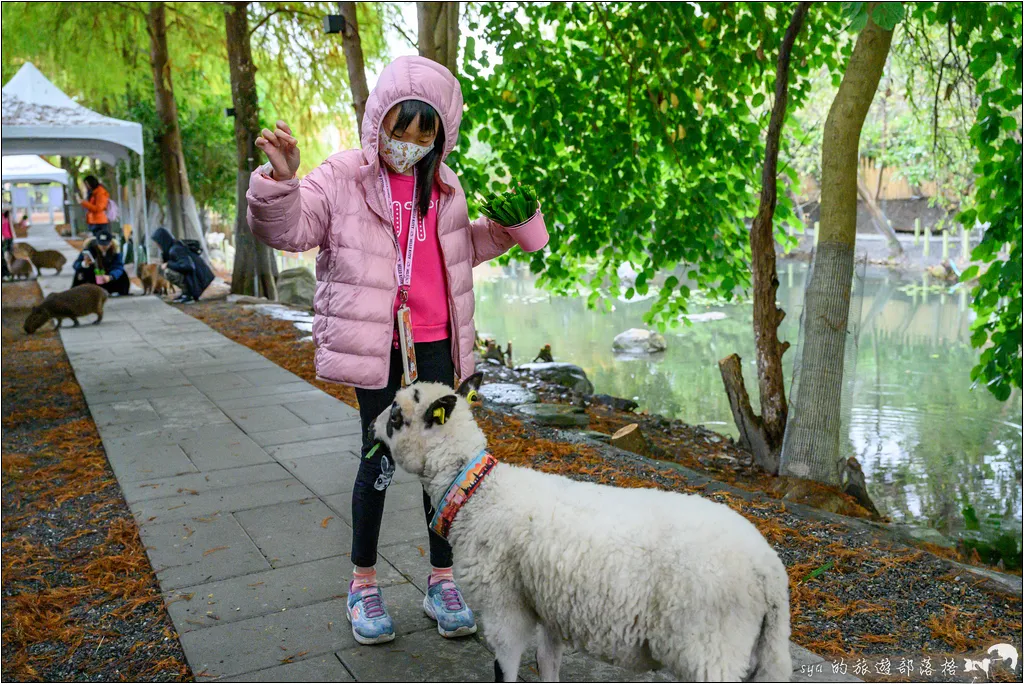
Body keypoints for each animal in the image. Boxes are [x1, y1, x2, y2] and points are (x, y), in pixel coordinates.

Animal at [372, 376, 794, 679]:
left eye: (396, 415)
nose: (372, 426)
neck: (476, 492)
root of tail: (769, 572)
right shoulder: (548, 605)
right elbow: (548, 663)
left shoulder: (505, 605)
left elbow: (505, 669)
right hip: (758, 652)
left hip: (712, 647)